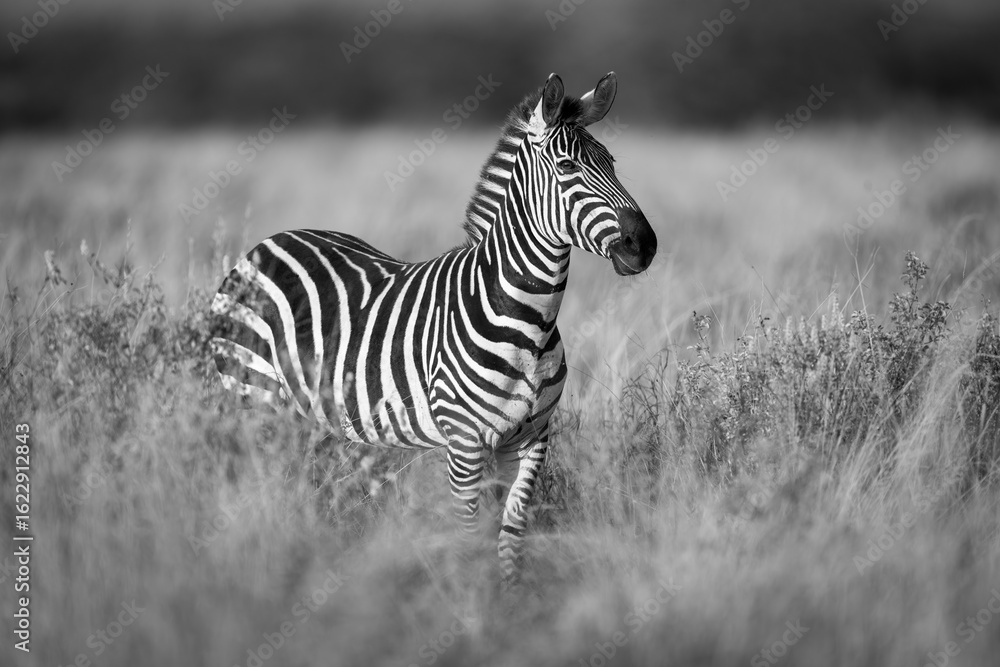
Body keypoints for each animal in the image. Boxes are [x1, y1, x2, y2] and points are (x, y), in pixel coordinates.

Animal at [210, 72, 657, 585]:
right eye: (566, 167)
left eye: (612, 163)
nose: (644, 244)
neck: (531, 324)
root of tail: (268, 241)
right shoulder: (464, 444)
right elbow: (468, 535)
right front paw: (471, 600)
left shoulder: (531, 439)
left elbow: (510, 534)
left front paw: (510, 599)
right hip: (251, 395)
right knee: (254, 478)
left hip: (313, 416)